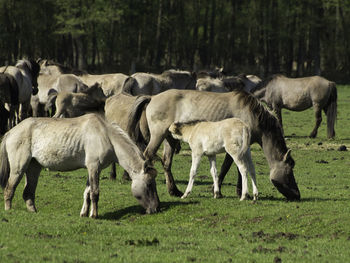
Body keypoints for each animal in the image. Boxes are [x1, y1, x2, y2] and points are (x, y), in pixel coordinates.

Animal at [0, 114, 161, 219]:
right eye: (149, 184)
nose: (156, 208)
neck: (106, 135)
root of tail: (10, 132)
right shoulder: (94, 167)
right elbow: (95, 193)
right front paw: (94, 215)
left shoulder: (92, 169)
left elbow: (87, 193)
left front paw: (84, 213)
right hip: (19, 169)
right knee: (9, 189)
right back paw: (9, 211)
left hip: (33, 168)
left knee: (28, 193)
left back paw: (33, 211)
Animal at [129, 89, 300, 201]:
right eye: (290, 169)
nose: (297, 195)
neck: (251, 114)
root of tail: (152, 97)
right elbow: (228, 168)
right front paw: (224, 191)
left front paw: (237, 191)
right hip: (158, 136)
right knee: (149, 155)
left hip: (169, 140)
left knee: (166, 163)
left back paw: (174, 191)